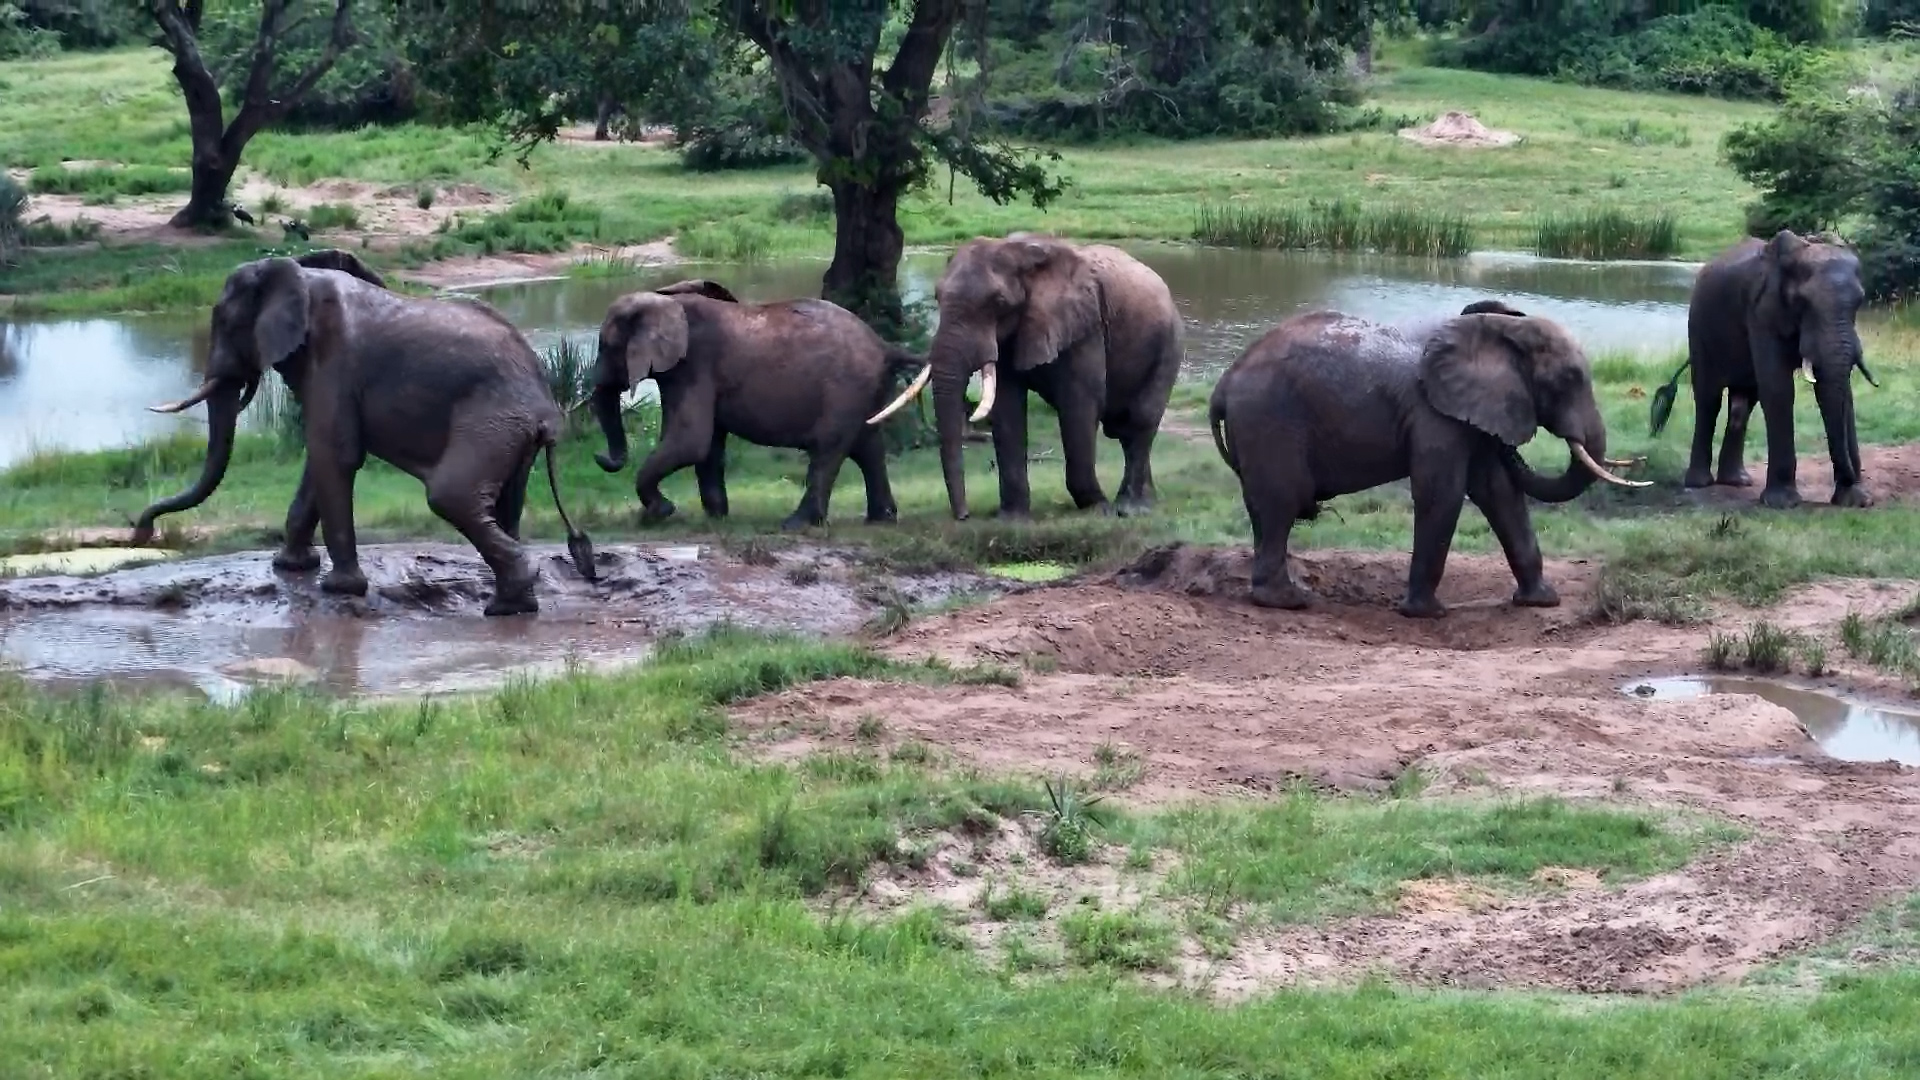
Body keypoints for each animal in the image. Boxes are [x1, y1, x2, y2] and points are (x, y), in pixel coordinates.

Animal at [131, 249, 596, 617]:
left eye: (225, 321)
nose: (141, 531)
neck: (298, 273)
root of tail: (547, 405)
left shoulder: (334, 361)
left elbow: (332, 454)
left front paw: (338, 589)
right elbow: (319, 460)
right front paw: (290, 568)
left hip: (490, 421)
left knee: (450, 496)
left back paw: (507, 602)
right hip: (511, 434)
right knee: (503, 503)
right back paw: (513, 605)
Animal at [590, 279, 922, 530]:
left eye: (606, 347)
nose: (599, 456)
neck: (662, 302)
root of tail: (885, 347)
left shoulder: (693, 365)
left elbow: (690, 440)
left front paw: (659, 513)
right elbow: (707, 446)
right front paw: (716, 519)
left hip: (846, 389)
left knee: (829, 449)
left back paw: (795, 525)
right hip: (865, 391)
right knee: (868, 446)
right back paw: (881, 520)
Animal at [866, 233, 1183, 521]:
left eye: (998, 302)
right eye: (937, 296)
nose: (964, 516)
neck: (1019, 251)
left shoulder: (1085, 328)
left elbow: (1079, 404)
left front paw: (1097, 508)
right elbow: (1006, 409)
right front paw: (1012, 519)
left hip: (1169, 344)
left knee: (1139, 421)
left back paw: (1130, 508)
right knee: (1123, 430)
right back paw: (1146, 501)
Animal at [1208, 307, 1648, 618]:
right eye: (1568, 378)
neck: (1501, 330)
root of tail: (1224, 382)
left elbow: (1499, 492)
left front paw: (1541, 602)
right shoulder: (1434, 415)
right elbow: (1443, 493)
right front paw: (1426, 614)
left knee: (1267, 509)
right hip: (1269, 421)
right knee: (1282, 503)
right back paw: (1289, 602)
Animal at [1649, 229, 1877, 509]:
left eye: (1859, 302)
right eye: (1802, 302)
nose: (1849, 480)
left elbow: (1841, 392)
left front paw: (1856, 501)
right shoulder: (1761, 312)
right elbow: (1778, 389)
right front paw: (1783, 503)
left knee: (1744, 402)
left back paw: (1737, 481)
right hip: (1698, 327)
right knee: (1708, 398)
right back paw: (1699, 483)